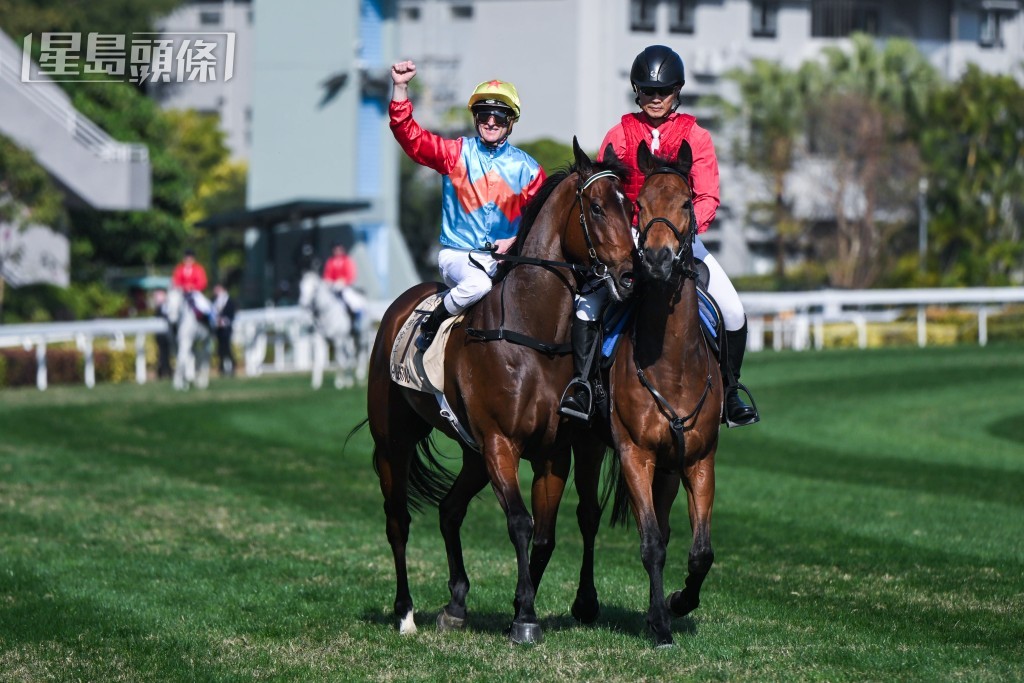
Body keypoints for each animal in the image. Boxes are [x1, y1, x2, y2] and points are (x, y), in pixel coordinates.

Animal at [368, 140, 634, 647]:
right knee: (397, 521)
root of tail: (400, 305)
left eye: (630, 207)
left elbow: (545, 533)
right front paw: (525, 619)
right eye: (596, 207)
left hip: (472, 455)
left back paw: (455, 606)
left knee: (449, 511)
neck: (531, 334)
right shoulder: (500, 444)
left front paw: (521, 609)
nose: (631, 276)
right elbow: (520, 522)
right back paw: (405, 612)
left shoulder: (552, 453)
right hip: (395, 442)